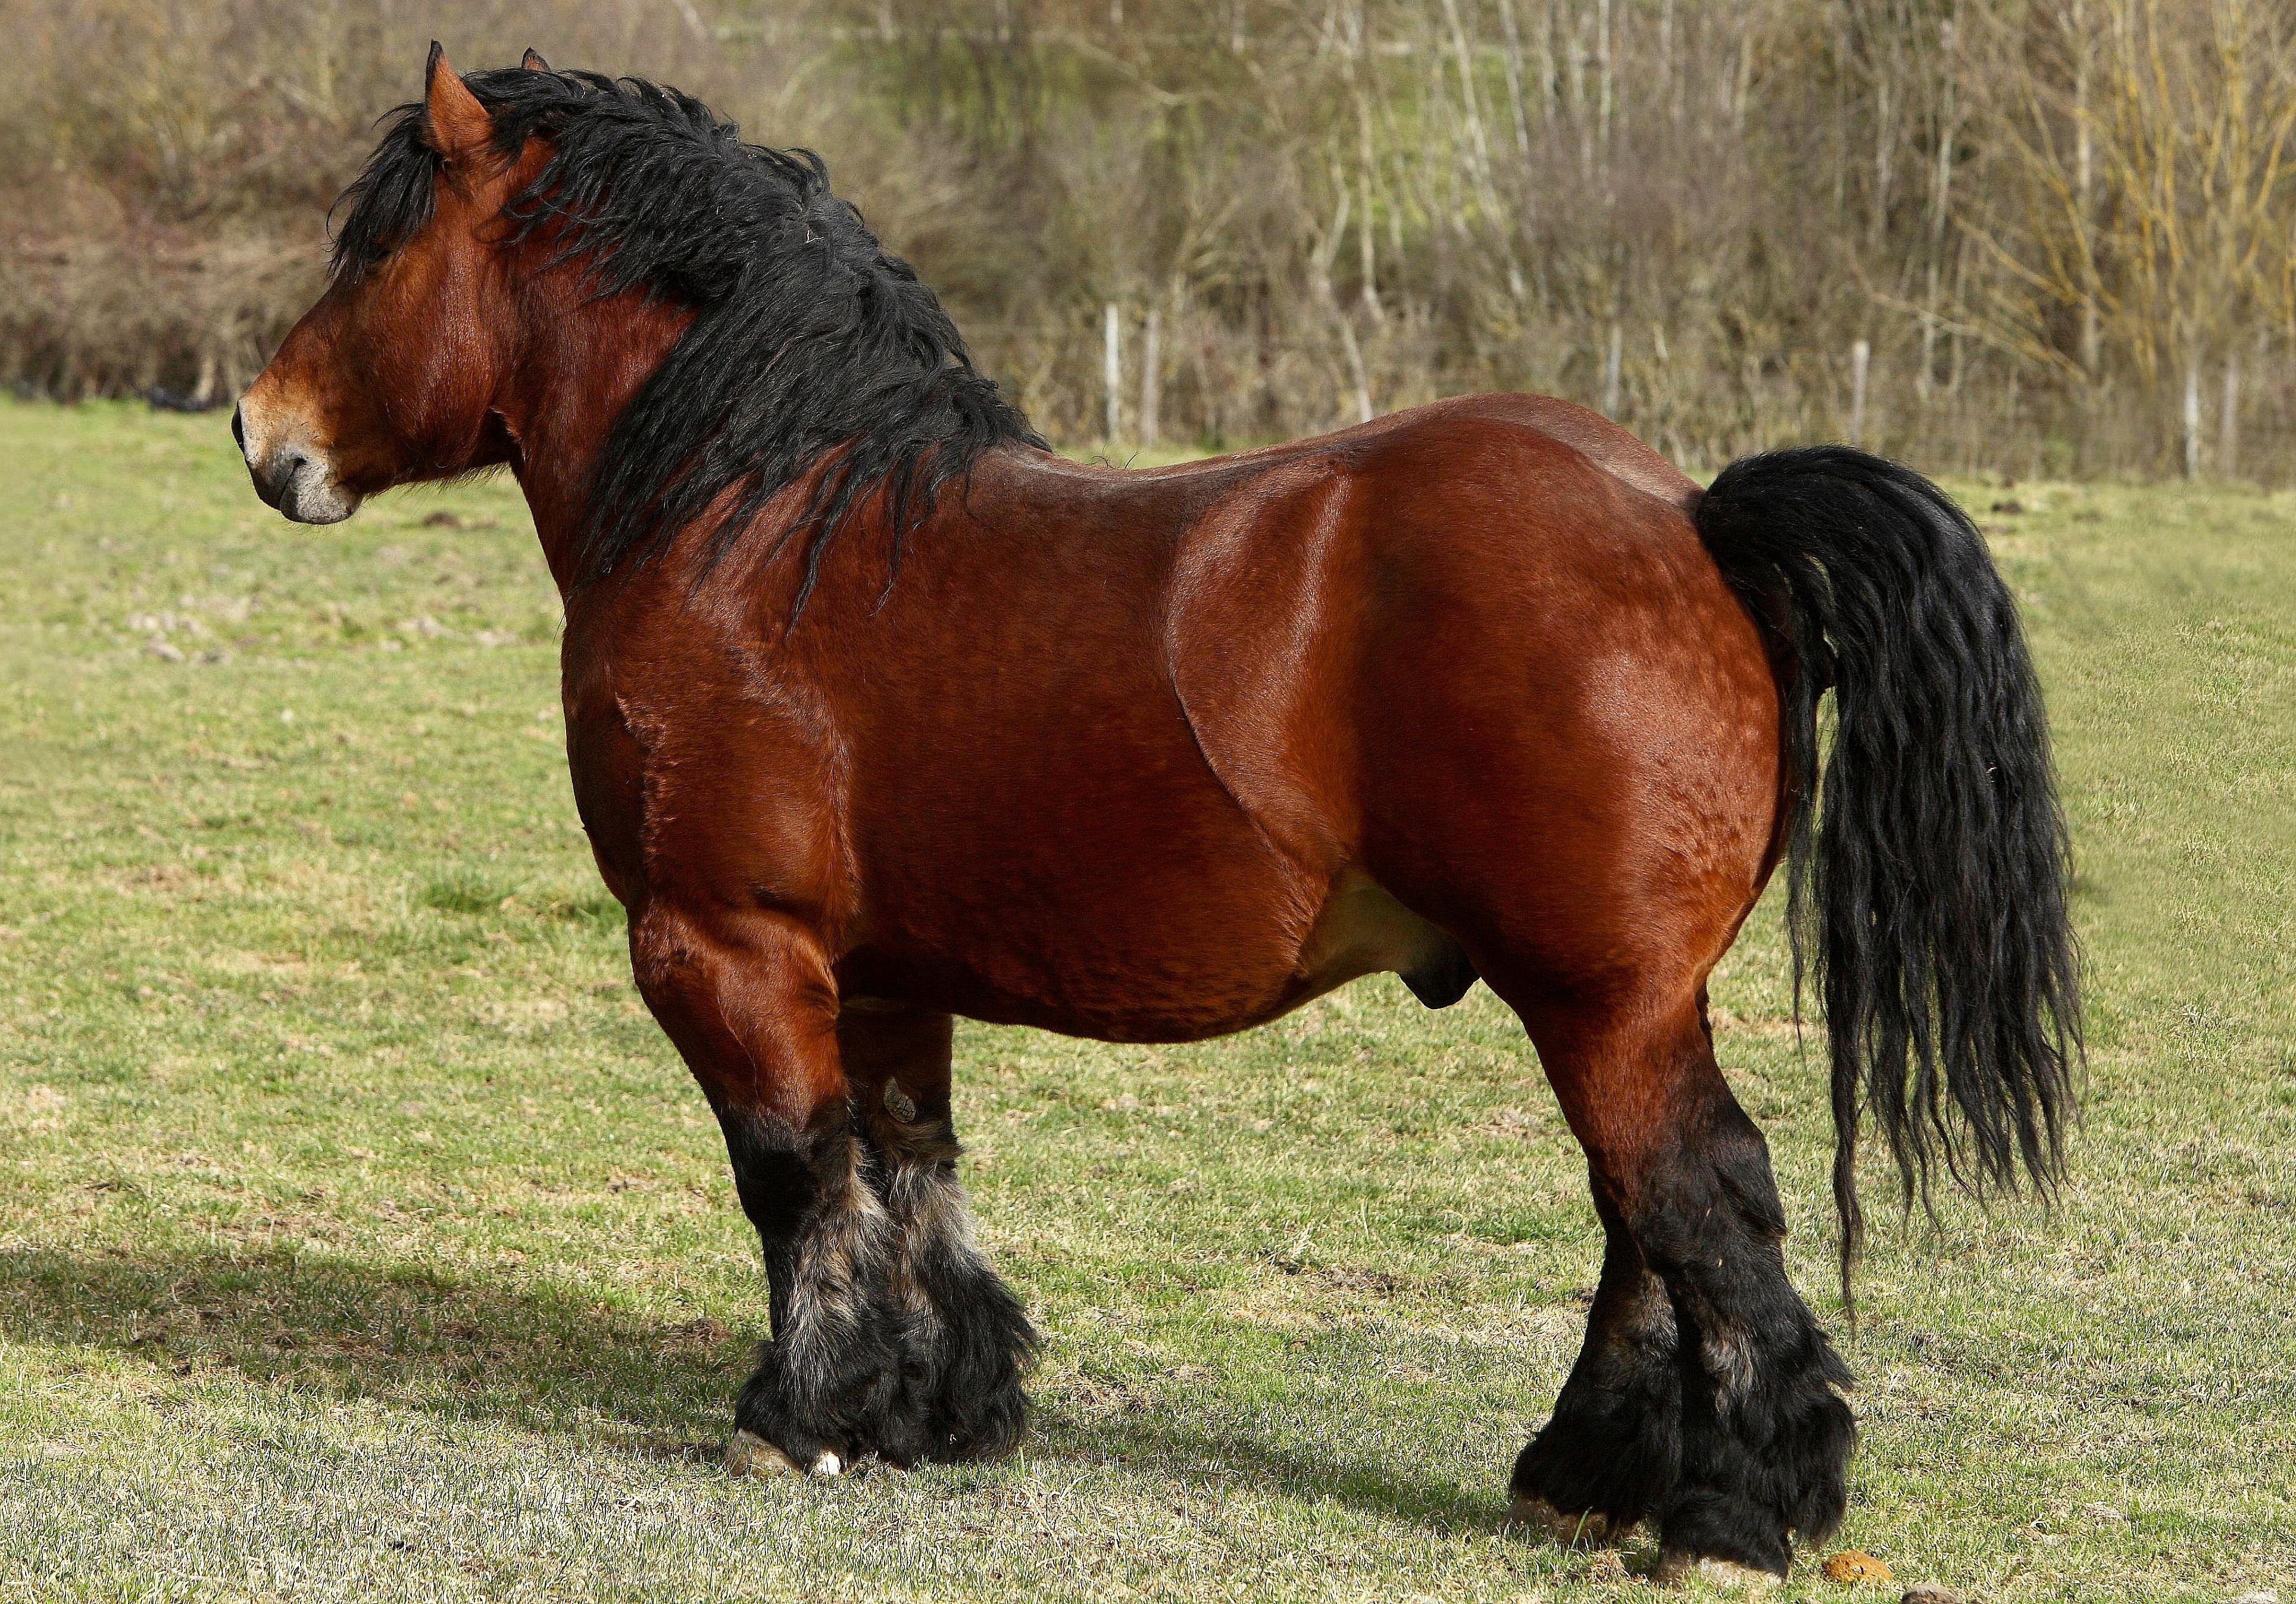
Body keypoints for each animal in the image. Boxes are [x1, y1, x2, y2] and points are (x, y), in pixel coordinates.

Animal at [233, 47, 2080, 1585]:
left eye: (373, 252)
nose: (261, 431)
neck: (759, 524)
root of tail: (1690, 515)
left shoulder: (721, 945)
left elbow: (793, 1171)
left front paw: (799, 1414)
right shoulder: (884, 972)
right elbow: (910, 1167)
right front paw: (938, 1408)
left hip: (1602, 1000)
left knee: (1699, 1207)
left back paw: (1727, 1514)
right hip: (1613, 1001)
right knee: (1647, 1221)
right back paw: (1584, 1473)